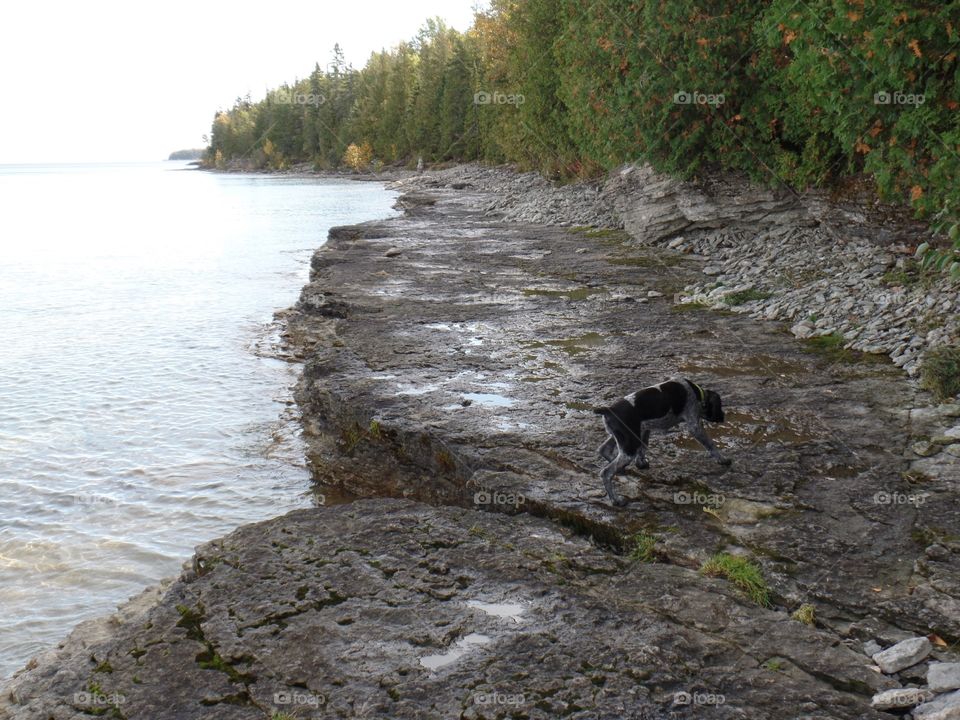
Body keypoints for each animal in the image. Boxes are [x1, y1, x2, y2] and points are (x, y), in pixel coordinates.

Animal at [592, 376, 728, 506]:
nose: (723, 417)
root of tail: (609, 409)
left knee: (604, 449)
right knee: (606, 472)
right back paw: (616, 500)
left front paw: (641, 464)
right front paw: (722, 459)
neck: (697, 393)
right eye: (720, 405)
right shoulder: (694, 426)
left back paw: (620, 470)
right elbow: (710, 443)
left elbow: (643, 448)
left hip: (626, 437)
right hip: (630, 444)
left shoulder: (645, 429)